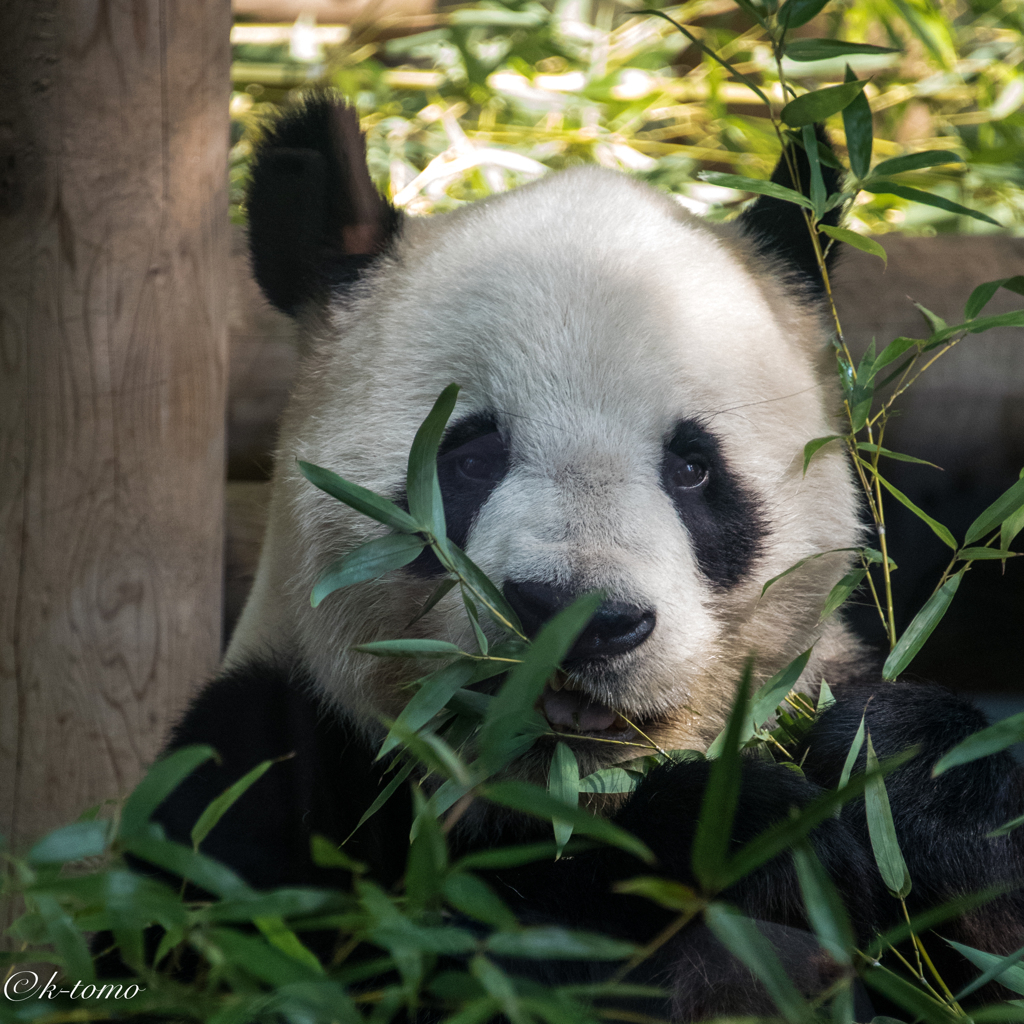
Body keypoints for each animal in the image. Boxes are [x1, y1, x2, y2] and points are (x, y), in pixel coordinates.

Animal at [151, 94, 1024, 1015]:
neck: (563, 787)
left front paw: (910, 773)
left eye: (692, 468)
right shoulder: (263, 762)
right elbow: (391, 948)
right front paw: (739, 838)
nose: (581, 619)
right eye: (469, 457)